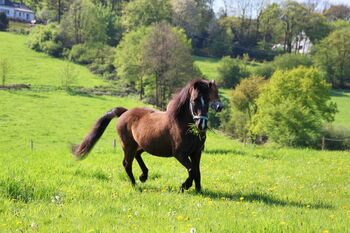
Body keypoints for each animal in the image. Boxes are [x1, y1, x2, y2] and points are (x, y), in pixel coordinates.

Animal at [72, 79, 223, 192]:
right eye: (195, 100)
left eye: (208, 100)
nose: (201, 125)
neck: (182, 124)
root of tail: (124, 112)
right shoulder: (179, 153)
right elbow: (192, 170)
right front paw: (184, 186)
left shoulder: (196, 152)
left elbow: (197, 171)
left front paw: (198, 189)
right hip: (128, 146)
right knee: (127, 163)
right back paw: (135, 185)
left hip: (141, 145)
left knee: (137, 155)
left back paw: (143, 176)